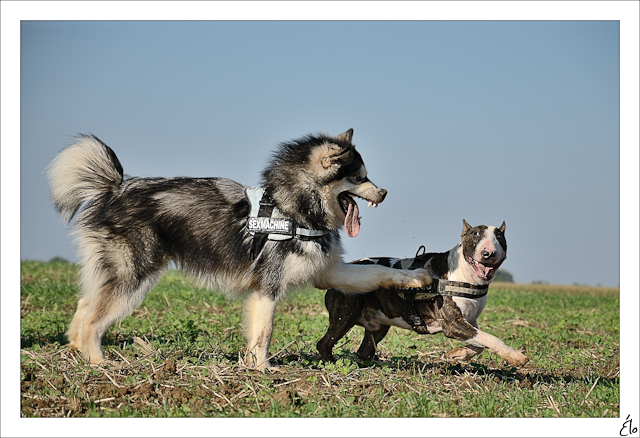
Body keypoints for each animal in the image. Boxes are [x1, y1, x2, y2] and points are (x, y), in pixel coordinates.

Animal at [46, 128, 430, 368]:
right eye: (359, 178)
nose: (384, 193)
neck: (294, 208)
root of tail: (114, 187)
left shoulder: (329, 272)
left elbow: (377, 270)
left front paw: (417, 278)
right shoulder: (268, 287)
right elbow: (264, 333)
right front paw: (263, 369)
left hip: (120, 276)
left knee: (84, 306)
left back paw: (77, 353)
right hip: (133, 278)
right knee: (93, 319)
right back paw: (99, 363)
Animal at [318, 221, 528, 368]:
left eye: (499, 237)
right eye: (476, 234)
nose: (488, 253)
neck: (466, 276)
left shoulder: (469, 322)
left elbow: (479, 343)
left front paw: (459, 354)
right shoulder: (454, 324)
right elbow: (489, 338)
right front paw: (516, 357)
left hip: (379, 324)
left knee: (364, 351)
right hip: (346, 313)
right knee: (324, 344)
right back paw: (332, 364)